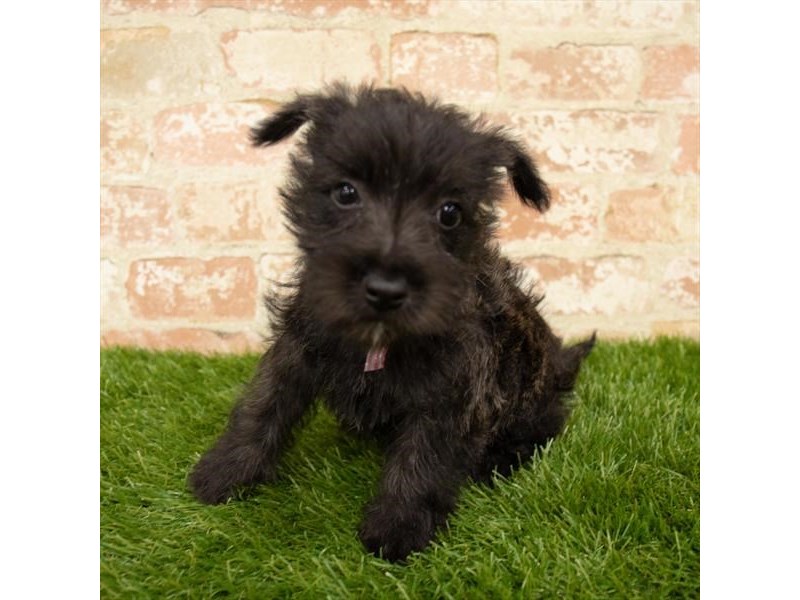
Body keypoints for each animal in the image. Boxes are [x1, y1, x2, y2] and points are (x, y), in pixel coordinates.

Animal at [191, 82, 596, 560]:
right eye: (346, 193)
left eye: (449, 212)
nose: (386, 289)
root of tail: (562, 362)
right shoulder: (297, 347)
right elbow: (263, 406)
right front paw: (224, 472)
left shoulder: (452, 389)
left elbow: (422, 457)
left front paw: (398, 527)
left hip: (531, 401)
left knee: (545, 425)